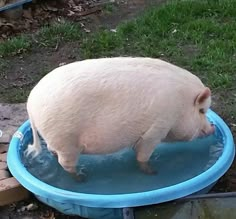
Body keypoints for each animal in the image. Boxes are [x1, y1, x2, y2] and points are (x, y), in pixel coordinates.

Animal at [25, 57, 214, 181]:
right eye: (202, 110)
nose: (212, 128)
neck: (180, 106)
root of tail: (30, 103)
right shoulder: (156, 129)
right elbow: (143, 156)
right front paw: (153, 172)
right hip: (66, 142)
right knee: (65, 163)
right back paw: (83, 178)